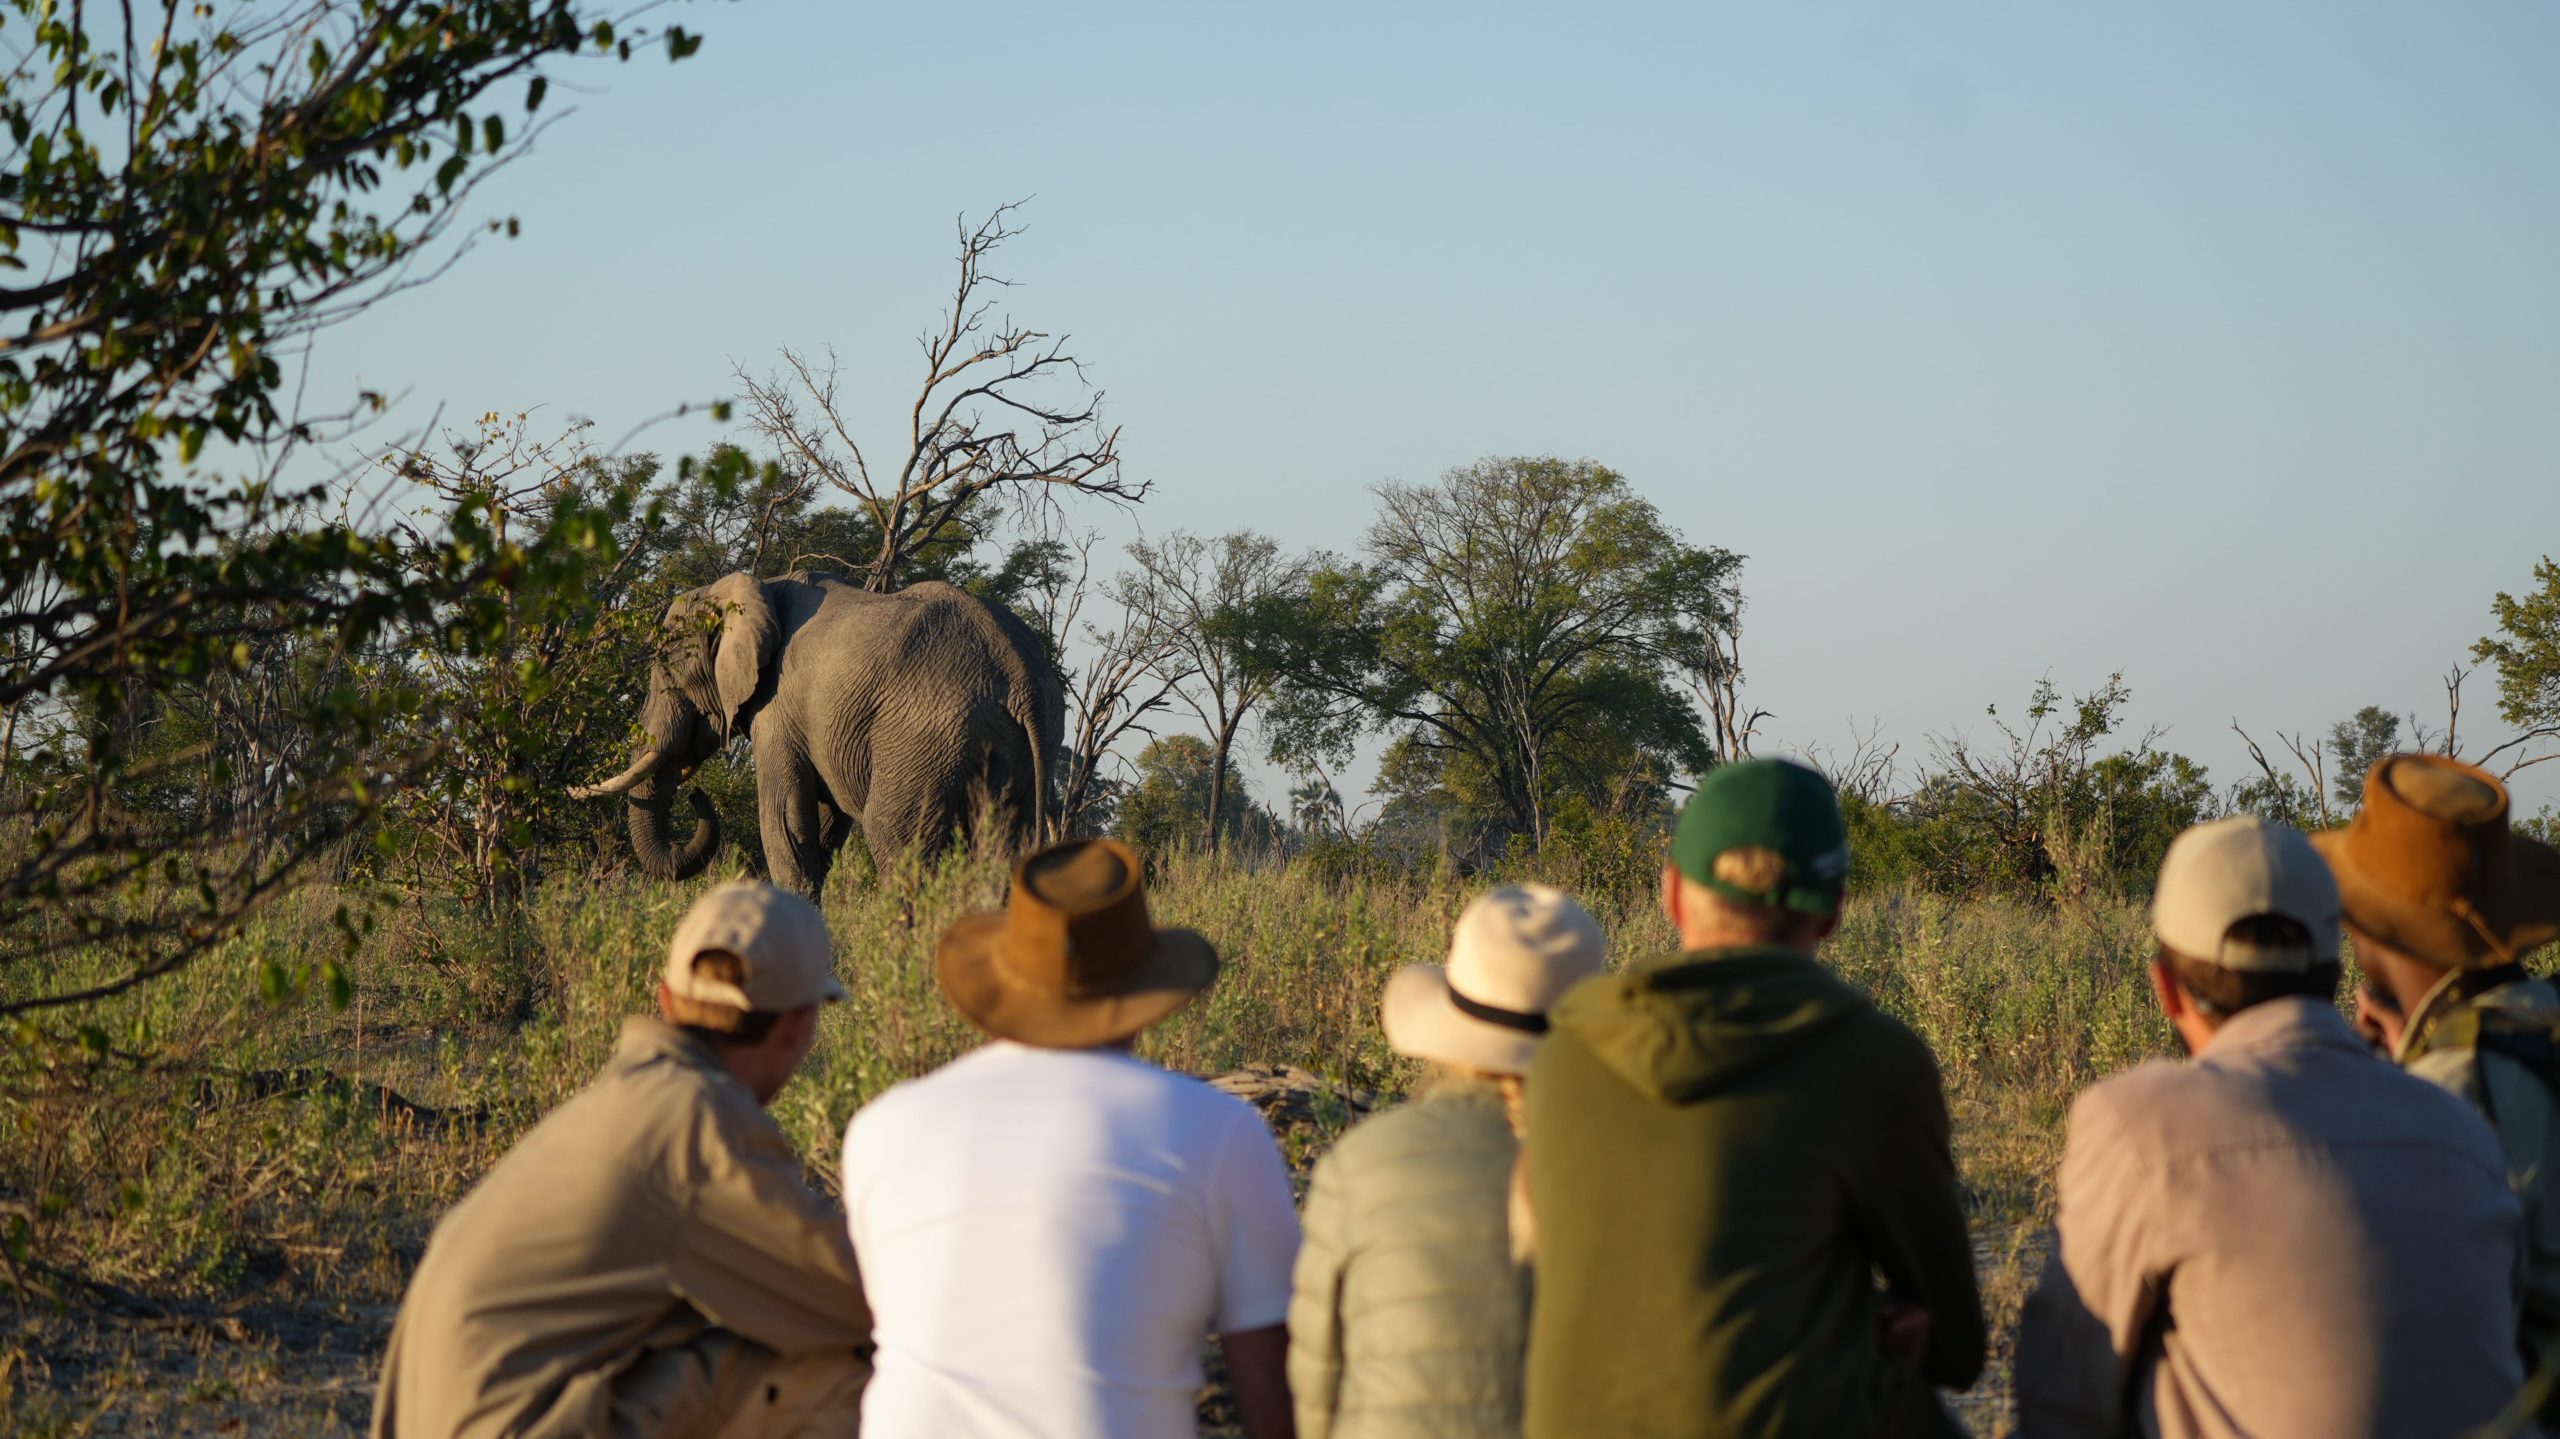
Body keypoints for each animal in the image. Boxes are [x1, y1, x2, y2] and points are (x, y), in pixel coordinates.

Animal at [570, 572, 1064, 897]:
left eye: (665, 670)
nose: (696, 795)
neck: (753, 589)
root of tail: (1021, 676)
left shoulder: (777, 707)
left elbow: (785, 821)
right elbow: (823, 826)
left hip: (926, 737)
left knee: (895, 839)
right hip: (1008, 748)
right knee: (1001, 852)